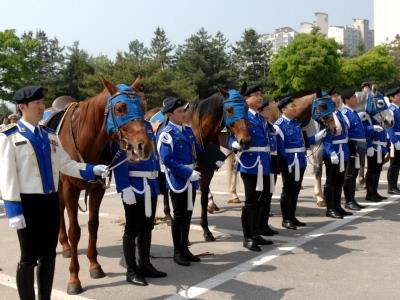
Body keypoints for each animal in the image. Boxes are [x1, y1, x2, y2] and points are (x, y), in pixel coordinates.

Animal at [53, 76, 153, 294]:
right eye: (121, 108)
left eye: (142, 107)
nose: (145, 146)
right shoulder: (70, 189)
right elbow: (75, 231)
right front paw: (74, 279)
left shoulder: (97, 189)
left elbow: (93, 225)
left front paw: (94, 265)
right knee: (59, 209)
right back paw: (65, 245)